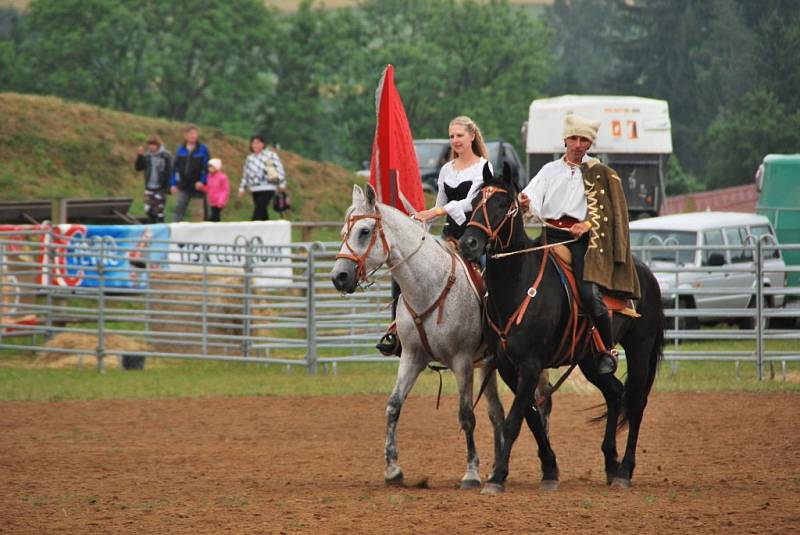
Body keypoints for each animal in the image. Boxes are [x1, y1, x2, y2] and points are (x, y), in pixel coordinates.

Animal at [332, 185, 506, 490]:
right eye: (344, 232)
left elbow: (466, 415)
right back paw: (497, 469)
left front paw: (471, 473)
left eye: (364, 231)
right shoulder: (412, 358)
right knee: (497, 413)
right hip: (487, 366)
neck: (430, 285)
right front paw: (392, 470)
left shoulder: (462, 362)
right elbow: (393, 406)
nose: (338, 276)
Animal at [460, 164, 664, 494]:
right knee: (614, 393)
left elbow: (515, 420)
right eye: (476, 200)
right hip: (591, 360)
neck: (518, 283)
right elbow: (530, 416)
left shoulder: (531, 364)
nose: (469, 244)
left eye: (502, 203)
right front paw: (549, 469)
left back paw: (624, 471)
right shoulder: (507, 366)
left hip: (640, 347)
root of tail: (647, 274)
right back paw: (610, 463)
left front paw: (497, 476)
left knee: (635, 402)